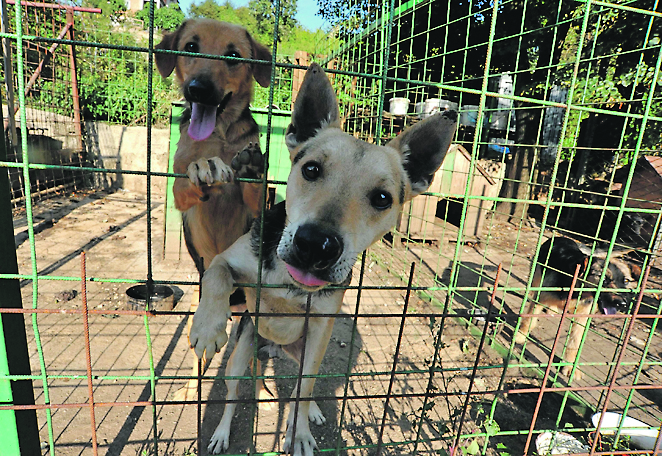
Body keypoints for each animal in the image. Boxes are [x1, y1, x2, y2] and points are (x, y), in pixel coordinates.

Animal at [154, 19, 272, 400]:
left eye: (233, 56)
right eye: (190, 47)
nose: (199, 90)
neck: (217, 135)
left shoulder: (259, 204)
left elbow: (256, 187)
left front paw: (249, 168)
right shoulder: (178, 189)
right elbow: (188, 180)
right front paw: (205, 167)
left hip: (255, 318)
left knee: (253, 357)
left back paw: (263, 391)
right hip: (197, 304)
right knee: (198, 354)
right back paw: (192, 388)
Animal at [187, 65, 456, 456]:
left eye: (382, 198)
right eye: (311, 170)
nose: (316, 246)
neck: (291, 283)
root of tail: (273, 347)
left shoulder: (319, 329)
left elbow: (303, 391)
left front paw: (298, 434)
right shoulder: (226, 259)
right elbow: (216, 277)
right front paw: (207, 328)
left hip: (305, 352)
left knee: (305, 387)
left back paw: (308, 412)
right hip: (239, 358)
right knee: (234, 395)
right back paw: (222, 433)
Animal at [516, 237, 640, 380]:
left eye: (626, 281)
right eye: (603, 278)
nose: (622, 304)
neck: (577, 290)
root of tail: (564, 238)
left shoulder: (582, 316)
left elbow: (574, 343)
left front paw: (570, 366)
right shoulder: (540, 299)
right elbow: (528, 320)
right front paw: (520, 336)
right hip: (536, 278)